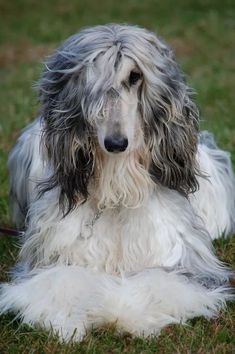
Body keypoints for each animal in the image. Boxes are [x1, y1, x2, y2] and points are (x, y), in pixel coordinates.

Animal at [0, 24, 235, 340]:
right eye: (90, 73)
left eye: (135, 76)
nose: (115, 143)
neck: (117, 188)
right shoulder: (52, 254)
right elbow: (62, 280)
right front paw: (69, 322)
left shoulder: (185, 261)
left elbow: (157, 282)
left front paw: (125, 315)